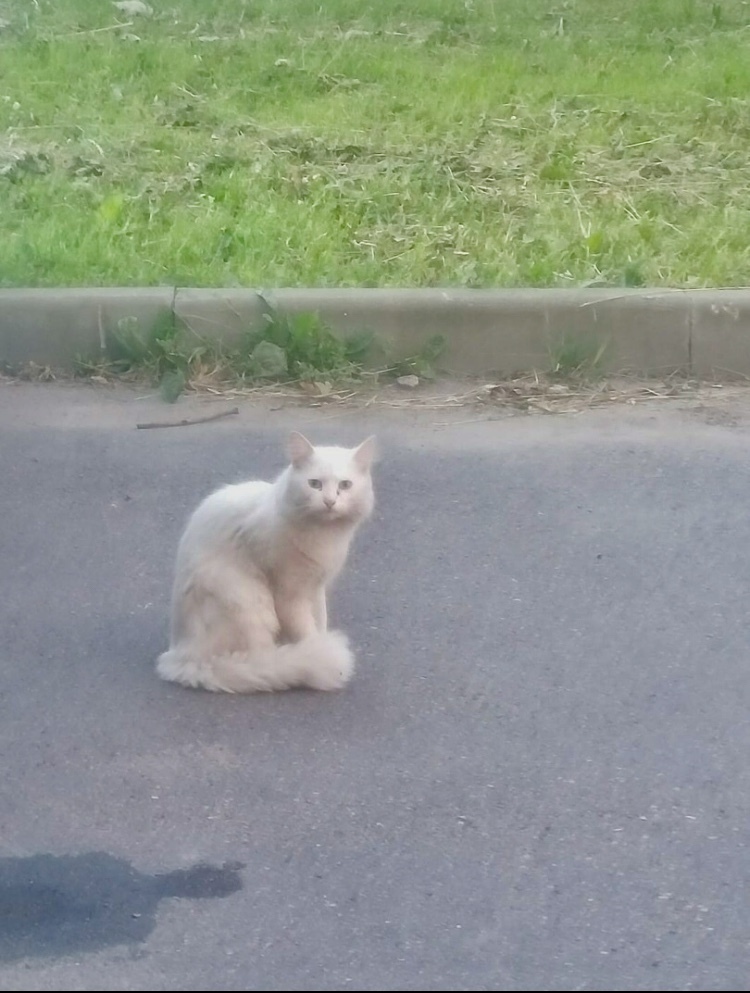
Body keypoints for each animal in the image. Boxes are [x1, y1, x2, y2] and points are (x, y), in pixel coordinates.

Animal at [157, 430, 376, 692]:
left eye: (345, 485)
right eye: (315, 484)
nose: (330, 502)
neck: (324, 537)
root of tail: (178, 657)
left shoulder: (315, 587)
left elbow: (321, 622)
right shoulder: (290, 594)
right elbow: (308, 632)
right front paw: (320, 651)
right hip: (249, 603)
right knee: (259, 657)